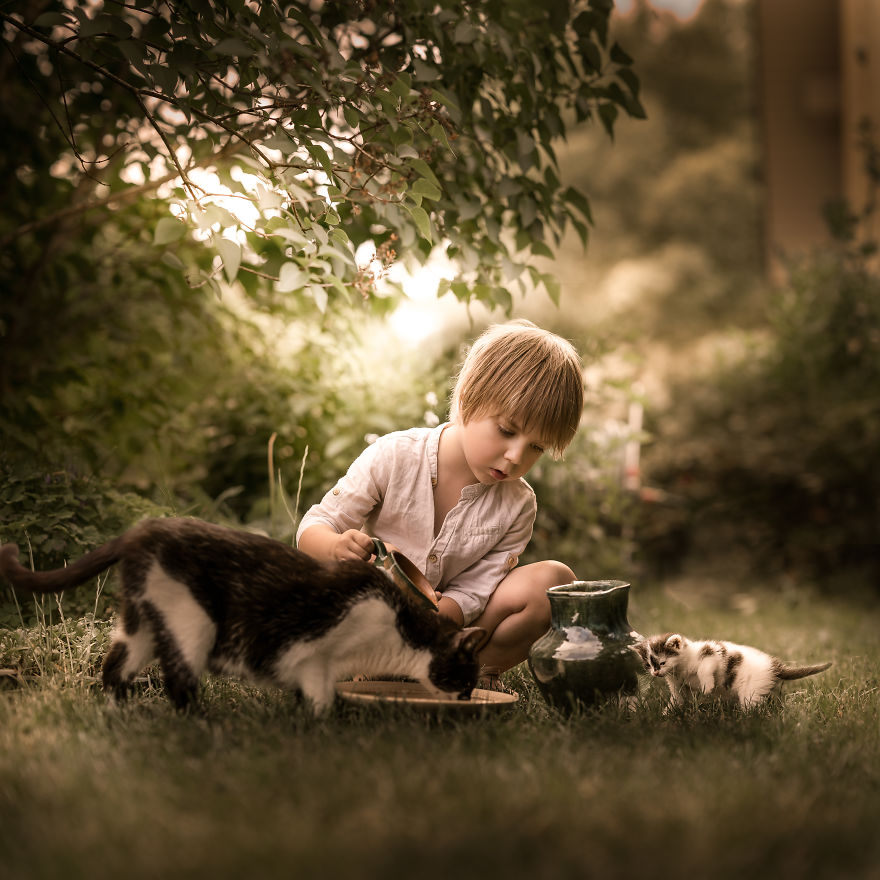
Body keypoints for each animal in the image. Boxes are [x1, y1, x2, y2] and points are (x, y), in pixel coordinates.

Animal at [0, 516, 488, 716]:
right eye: (465, 681)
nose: (466, 701)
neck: (394, 633)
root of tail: (141, 531)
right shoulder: (315, 655)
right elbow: (320, 702)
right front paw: (320, 729)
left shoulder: (314, 665)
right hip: (191, 621)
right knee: (178, 682)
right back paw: (200, 725)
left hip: (140, 622)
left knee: (114, 667)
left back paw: (118, 711)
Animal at [632, 632, 832, 708]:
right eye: (648, 665)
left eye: (662, 663)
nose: (656, 673)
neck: (681, 669)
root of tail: (774, 666)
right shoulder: (676, 684)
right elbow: (677, 700)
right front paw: (667, 715)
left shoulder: (710, 653)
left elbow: (705, 669)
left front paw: (707, 687)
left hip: (751, 690)